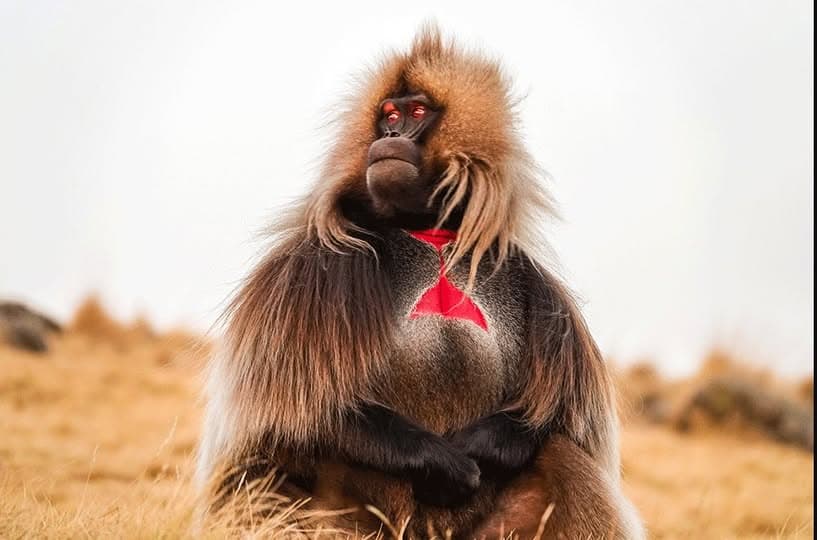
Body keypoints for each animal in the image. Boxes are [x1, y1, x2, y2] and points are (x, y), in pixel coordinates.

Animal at [197, 26, 645, 539]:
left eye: (415, 114)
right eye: (389, 115)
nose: (391, 135)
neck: (429, 230)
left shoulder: (536, 285)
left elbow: (559, 422)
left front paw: (481, 446)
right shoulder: (312, 270)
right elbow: (303, 410)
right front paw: (445, 463)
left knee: (565, 455)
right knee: (263, 463)